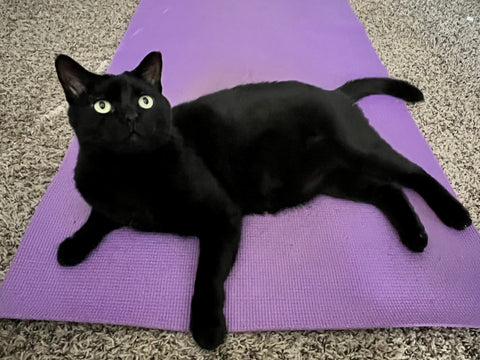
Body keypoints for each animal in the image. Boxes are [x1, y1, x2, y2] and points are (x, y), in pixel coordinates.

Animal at [54, 52, 470, 350]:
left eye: (144, 101)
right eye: (101, 107)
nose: (129, 117)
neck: (131, 172)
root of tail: (334, 93)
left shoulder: (222, 216)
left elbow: (207, 276)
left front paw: (207, 328)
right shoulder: (107, 198)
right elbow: (98, 216)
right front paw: (72, 247)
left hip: (361, 151)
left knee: (414, 172)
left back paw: (454, 215)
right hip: (337, 180)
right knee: (388, 190)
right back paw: (414, 237)